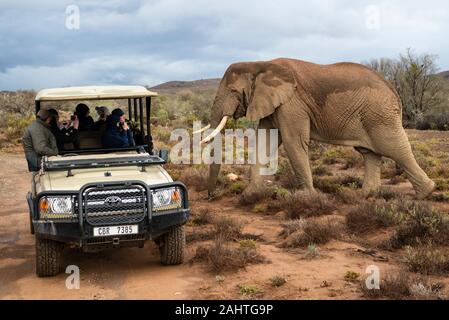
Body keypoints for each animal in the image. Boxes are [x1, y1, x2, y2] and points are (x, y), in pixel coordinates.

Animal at [199, 56, 434, 199]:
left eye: (232, 91)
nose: (212, 195)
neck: (260, 64)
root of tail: (394, 91)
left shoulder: (292, 103)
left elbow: (293, 143)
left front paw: (309, 198)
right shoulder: (273, 104)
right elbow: (266, 142)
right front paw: (249, 195)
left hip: (379, 114)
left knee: (395, 148)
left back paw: (427, 193)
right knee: (370, 153)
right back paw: (364, 196)